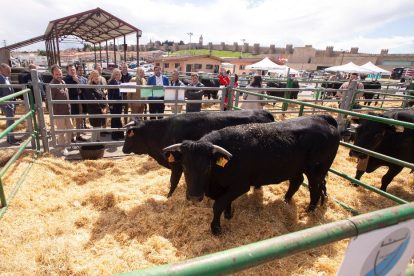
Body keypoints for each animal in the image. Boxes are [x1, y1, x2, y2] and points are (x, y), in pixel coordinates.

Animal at [121, 109, 274, 197]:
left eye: (129, 134)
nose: (123, 149)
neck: (163, 132)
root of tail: (264, 112)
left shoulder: (176, 166)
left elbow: (173, 182)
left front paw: (168, 196)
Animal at [163, 114, 342, 235]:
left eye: (207, 167)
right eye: (184, 166)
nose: (193, 196)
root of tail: (322, 119)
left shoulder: (240, 186)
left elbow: (218, 205)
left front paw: (216, 228)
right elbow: (226, 203)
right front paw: (228, 215)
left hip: (317, 171)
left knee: (315, 190)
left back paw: (308, 212)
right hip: (296, 169)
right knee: (297, 182)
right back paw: (285, 201)